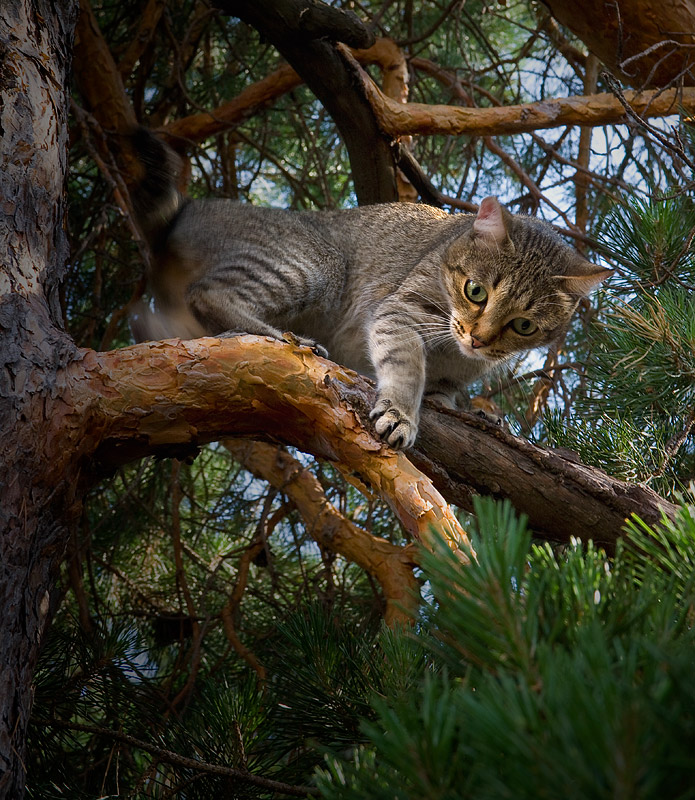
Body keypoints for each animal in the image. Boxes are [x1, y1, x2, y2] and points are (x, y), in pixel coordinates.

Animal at [128, 128, 612, 446]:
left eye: (524, 325)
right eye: (475, 291)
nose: (479, 338)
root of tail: (191, 208)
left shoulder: (453, 374)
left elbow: (444, 394)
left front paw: (471, 409)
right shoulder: (398, 311)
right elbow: (407, 365)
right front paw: (402, 414)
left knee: (155, 320)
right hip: (310, 264)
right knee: (209, 294)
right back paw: (278, 335)